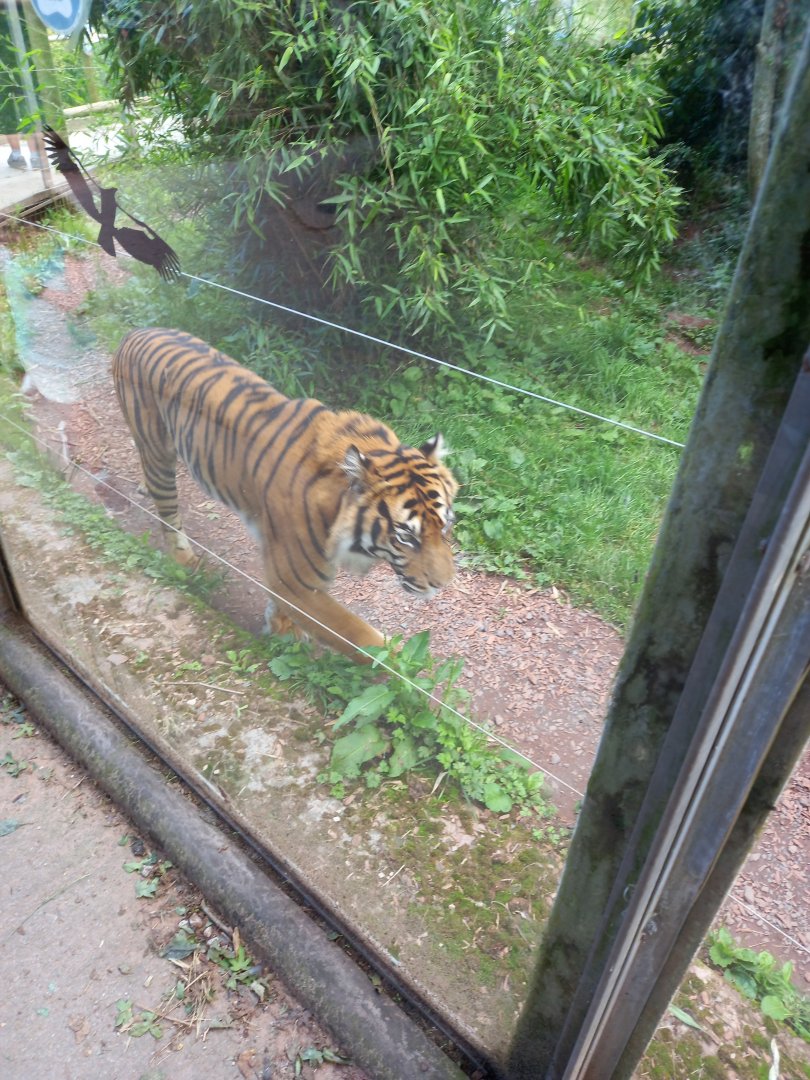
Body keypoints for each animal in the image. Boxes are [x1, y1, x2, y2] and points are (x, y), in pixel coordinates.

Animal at [112, 328, 458, 662]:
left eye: (444, 525)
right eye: (406, 537)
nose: (443, 585)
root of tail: (136, 333)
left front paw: (281, 629)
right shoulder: (297, 581)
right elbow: (361, 640)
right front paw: (412, 674)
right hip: (158, 450)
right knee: (168, 511)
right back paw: (184, 559)